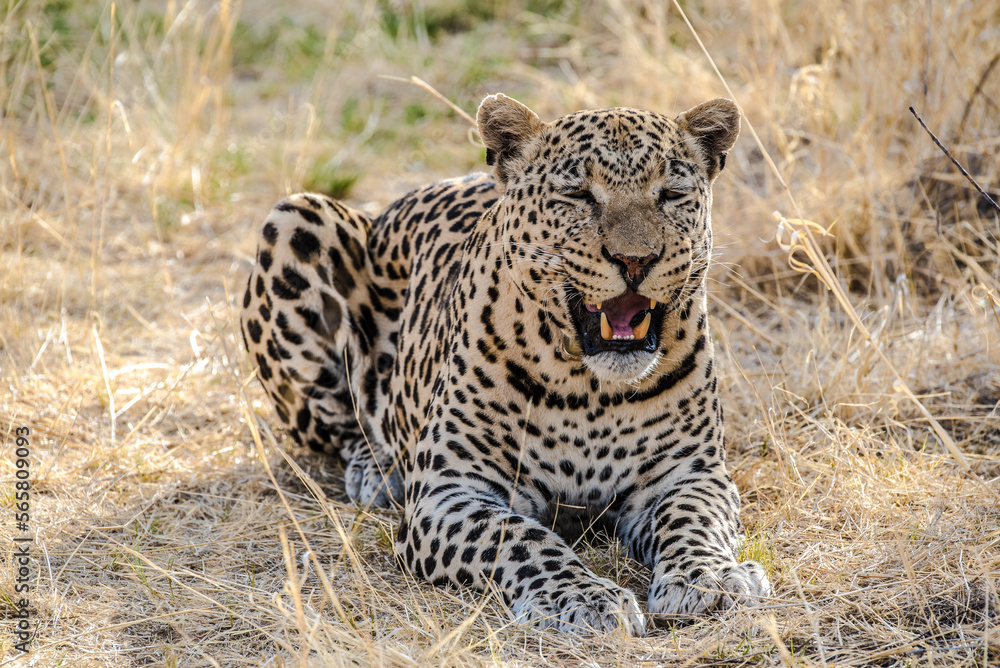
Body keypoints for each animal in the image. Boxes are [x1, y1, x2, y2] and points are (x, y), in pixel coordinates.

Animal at [240, 93, 772, 635]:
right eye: (578, 194)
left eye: (671, 195)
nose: (636, 260)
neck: (594, 389)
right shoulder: (451, 491)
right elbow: (523, 538)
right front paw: (584, 598)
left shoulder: (691, 473)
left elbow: (693, 520)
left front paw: (710, 579)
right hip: (295, 218)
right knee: (340, 423)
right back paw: (379, 470)